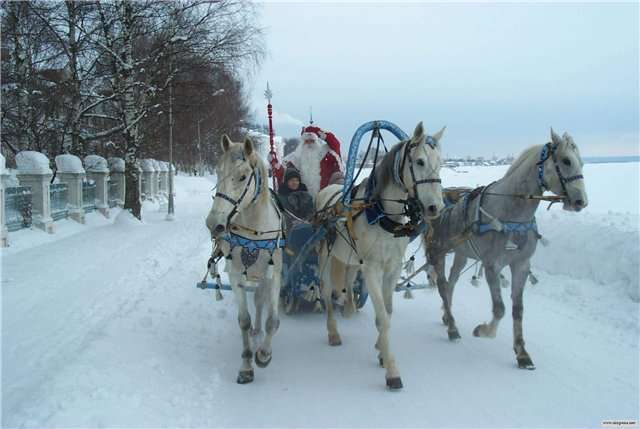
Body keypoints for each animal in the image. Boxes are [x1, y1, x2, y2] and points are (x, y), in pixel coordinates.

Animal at [206, 135, 284, 382]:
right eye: (218, 172)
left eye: (242, 176)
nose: (214, 224)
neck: (254, 233)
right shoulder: (236, 276)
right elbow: (243, 320)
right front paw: (247, 364)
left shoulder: (274, 276)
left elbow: (272, 320)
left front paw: (264, 354)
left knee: (260, 301)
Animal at [316, 121, 444, 388]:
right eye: (419, 161)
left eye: (441, 162)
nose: (435, 207)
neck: (382, 214)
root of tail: (328, 190)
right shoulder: (373, 269)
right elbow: (383, 317)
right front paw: (392, 370)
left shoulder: (392, 268)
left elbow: (388, 311)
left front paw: (380, 350)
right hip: (326, 257)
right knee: (326, 292)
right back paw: (333, 331)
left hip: (352, 259)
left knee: (348, 280)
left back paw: (349, 306)